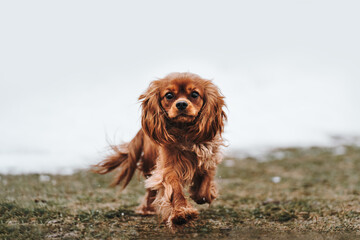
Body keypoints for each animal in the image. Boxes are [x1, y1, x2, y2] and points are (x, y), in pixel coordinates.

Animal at [93, 72, 228, 230]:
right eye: (169, 95)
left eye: (195, 94)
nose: (181, 104)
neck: (185, 132)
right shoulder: (168, 168)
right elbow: (174, 189)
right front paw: (181, 213)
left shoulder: (208, 158)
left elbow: (205, 185)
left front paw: (200, 194)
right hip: (150, 162)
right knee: (151, 190)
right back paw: (147, 209)